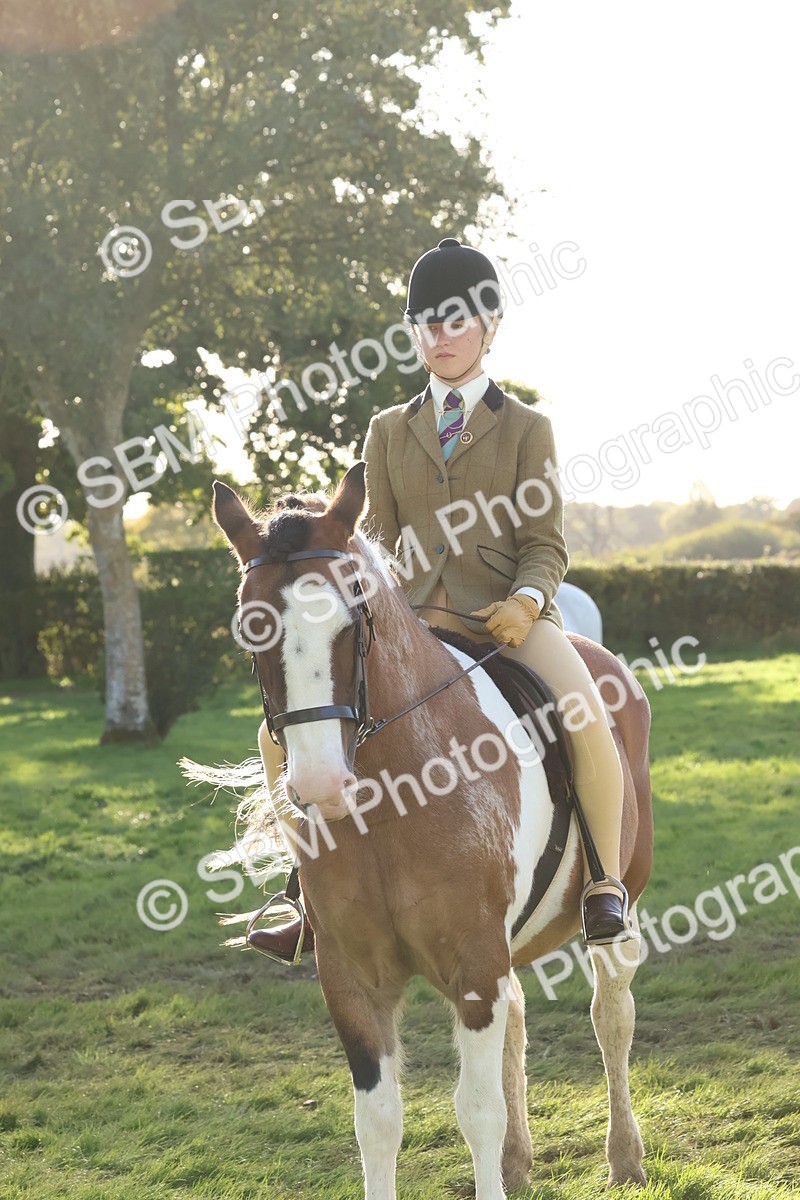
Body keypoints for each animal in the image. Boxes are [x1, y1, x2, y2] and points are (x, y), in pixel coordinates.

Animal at [208, 462, 653, 1199]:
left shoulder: (473, 961)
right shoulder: (352, 977)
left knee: (611, 1015)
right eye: (251, 629)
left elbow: (476, 1110)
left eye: (354, 616)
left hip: (620, 901)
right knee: (519, 1023)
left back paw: (624, 1157)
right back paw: (519, 1162)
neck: (391, 802)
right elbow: (378, 1120)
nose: (321, 785)